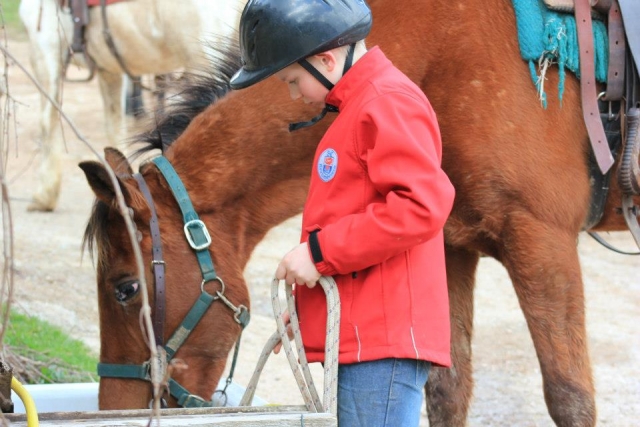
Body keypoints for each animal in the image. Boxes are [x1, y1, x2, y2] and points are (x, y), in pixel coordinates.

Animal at [80, 0, 639, 424]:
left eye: (126, 289)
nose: (114, 406)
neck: (446, 52)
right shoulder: (451, 246)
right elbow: (448, 390)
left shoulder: (541, 241)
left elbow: (570, 397)